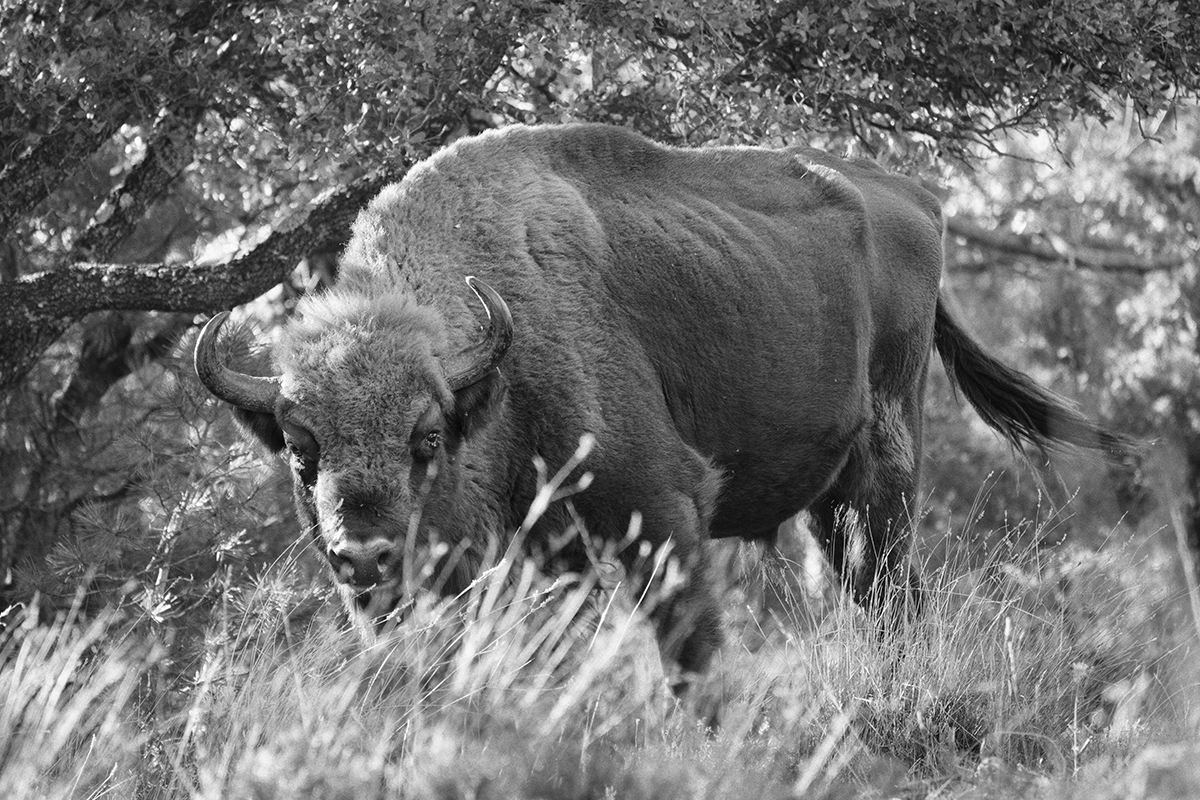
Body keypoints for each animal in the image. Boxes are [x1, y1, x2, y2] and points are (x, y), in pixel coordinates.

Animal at [195, 123, 1125, 679]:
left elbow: (693, 653)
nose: (364, 559)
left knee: (892, 585)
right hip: (831, 499)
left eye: (427, 438)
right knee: (860, 586)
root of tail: (920, 198)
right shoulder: (552, 554)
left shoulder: (662, 511)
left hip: (887, 468)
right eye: (300, 450)